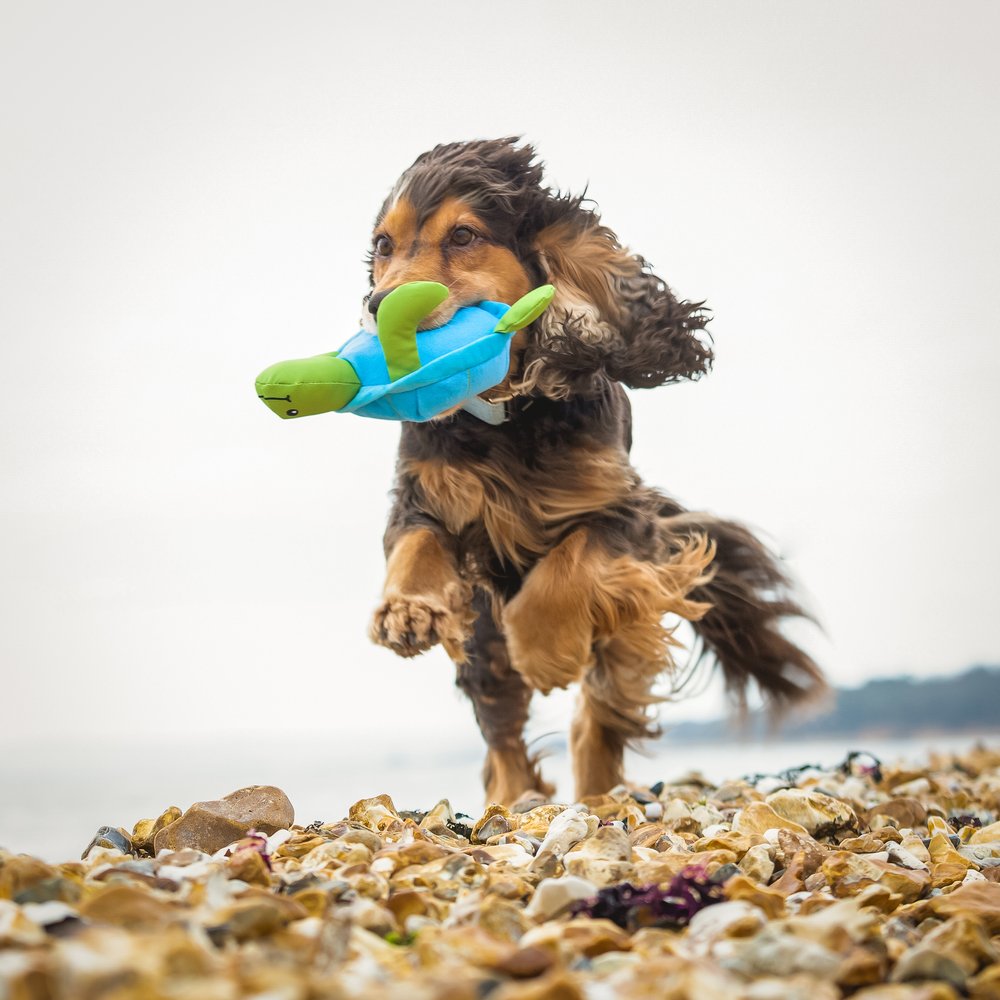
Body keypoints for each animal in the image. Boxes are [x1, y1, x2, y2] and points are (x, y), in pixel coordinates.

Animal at [362, 137, 820, 804]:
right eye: (383, 246)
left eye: (464, 235)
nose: (375, 307)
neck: (506, 418)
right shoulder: (424, 490)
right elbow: (416, 542)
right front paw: (405, 610)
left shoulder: (627, 515)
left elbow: (568, 563)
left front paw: (545, 649)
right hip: (482, 642)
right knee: (503, 737)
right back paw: (511, 801)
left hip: (625, 620)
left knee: (599, 714)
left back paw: (598, 792)